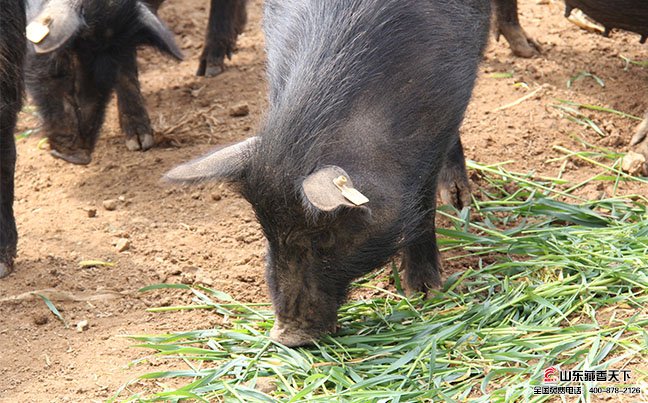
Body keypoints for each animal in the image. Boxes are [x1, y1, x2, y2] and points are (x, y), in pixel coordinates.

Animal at [167, 0, 492, 348]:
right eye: (267, 230)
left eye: (325, 236)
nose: (286, 335)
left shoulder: (445, 113)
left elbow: (423, 207)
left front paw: (425, 293)